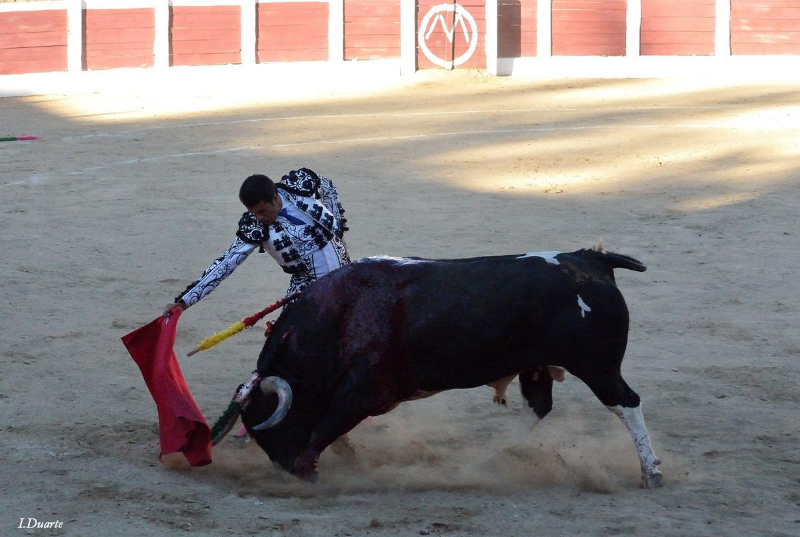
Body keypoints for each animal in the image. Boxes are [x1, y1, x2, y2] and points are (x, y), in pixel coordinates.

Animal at [241, 249, 664, 488]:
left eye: (269, 421)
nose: (285, 470)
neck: (339, 317)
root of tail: (591, 259)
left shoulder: (365, 391)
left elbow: (326, 425)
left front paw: (308, 467)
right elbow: (330, 427)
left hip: (597, 366)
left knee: (626, 402)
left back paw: (651, 473)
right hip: (538, 365)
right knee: (538, 407)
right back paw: (492, 462)